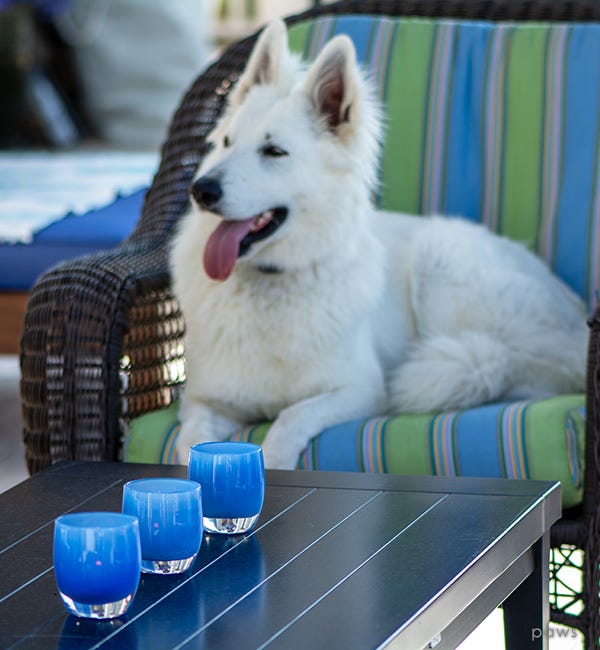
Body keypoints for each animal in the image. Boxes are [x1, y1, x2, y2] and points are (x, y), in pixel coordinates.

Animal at [171, 19, 588, 466]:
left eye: (274, 151)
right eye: (227, 143)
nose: (201, 190)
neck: (272, 282)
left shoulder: (361, 391)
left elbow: (289, 418)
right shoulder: (203, 402)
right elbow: (187, 443)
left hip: (442, 264)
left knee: (527, 369)